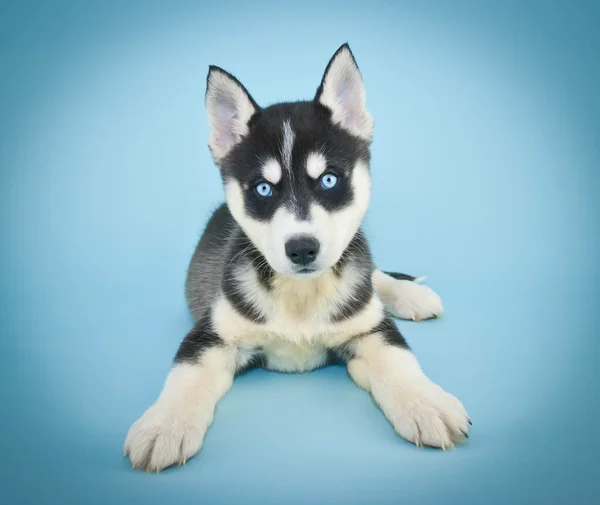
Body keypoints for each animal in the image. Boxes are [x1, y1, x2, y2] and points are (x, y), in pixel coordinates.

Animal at [124, 44, 472, 472]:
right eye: (262, 188)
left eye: (329, 180)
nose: (302, 248)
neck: (300, 295)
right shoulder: (212, 332)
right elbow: (186, 375)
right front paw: (164, 424)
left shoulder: (369, 329)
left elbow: (399, 361)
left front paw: (427, 403)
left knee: (374, 275)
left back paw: (411, 295)